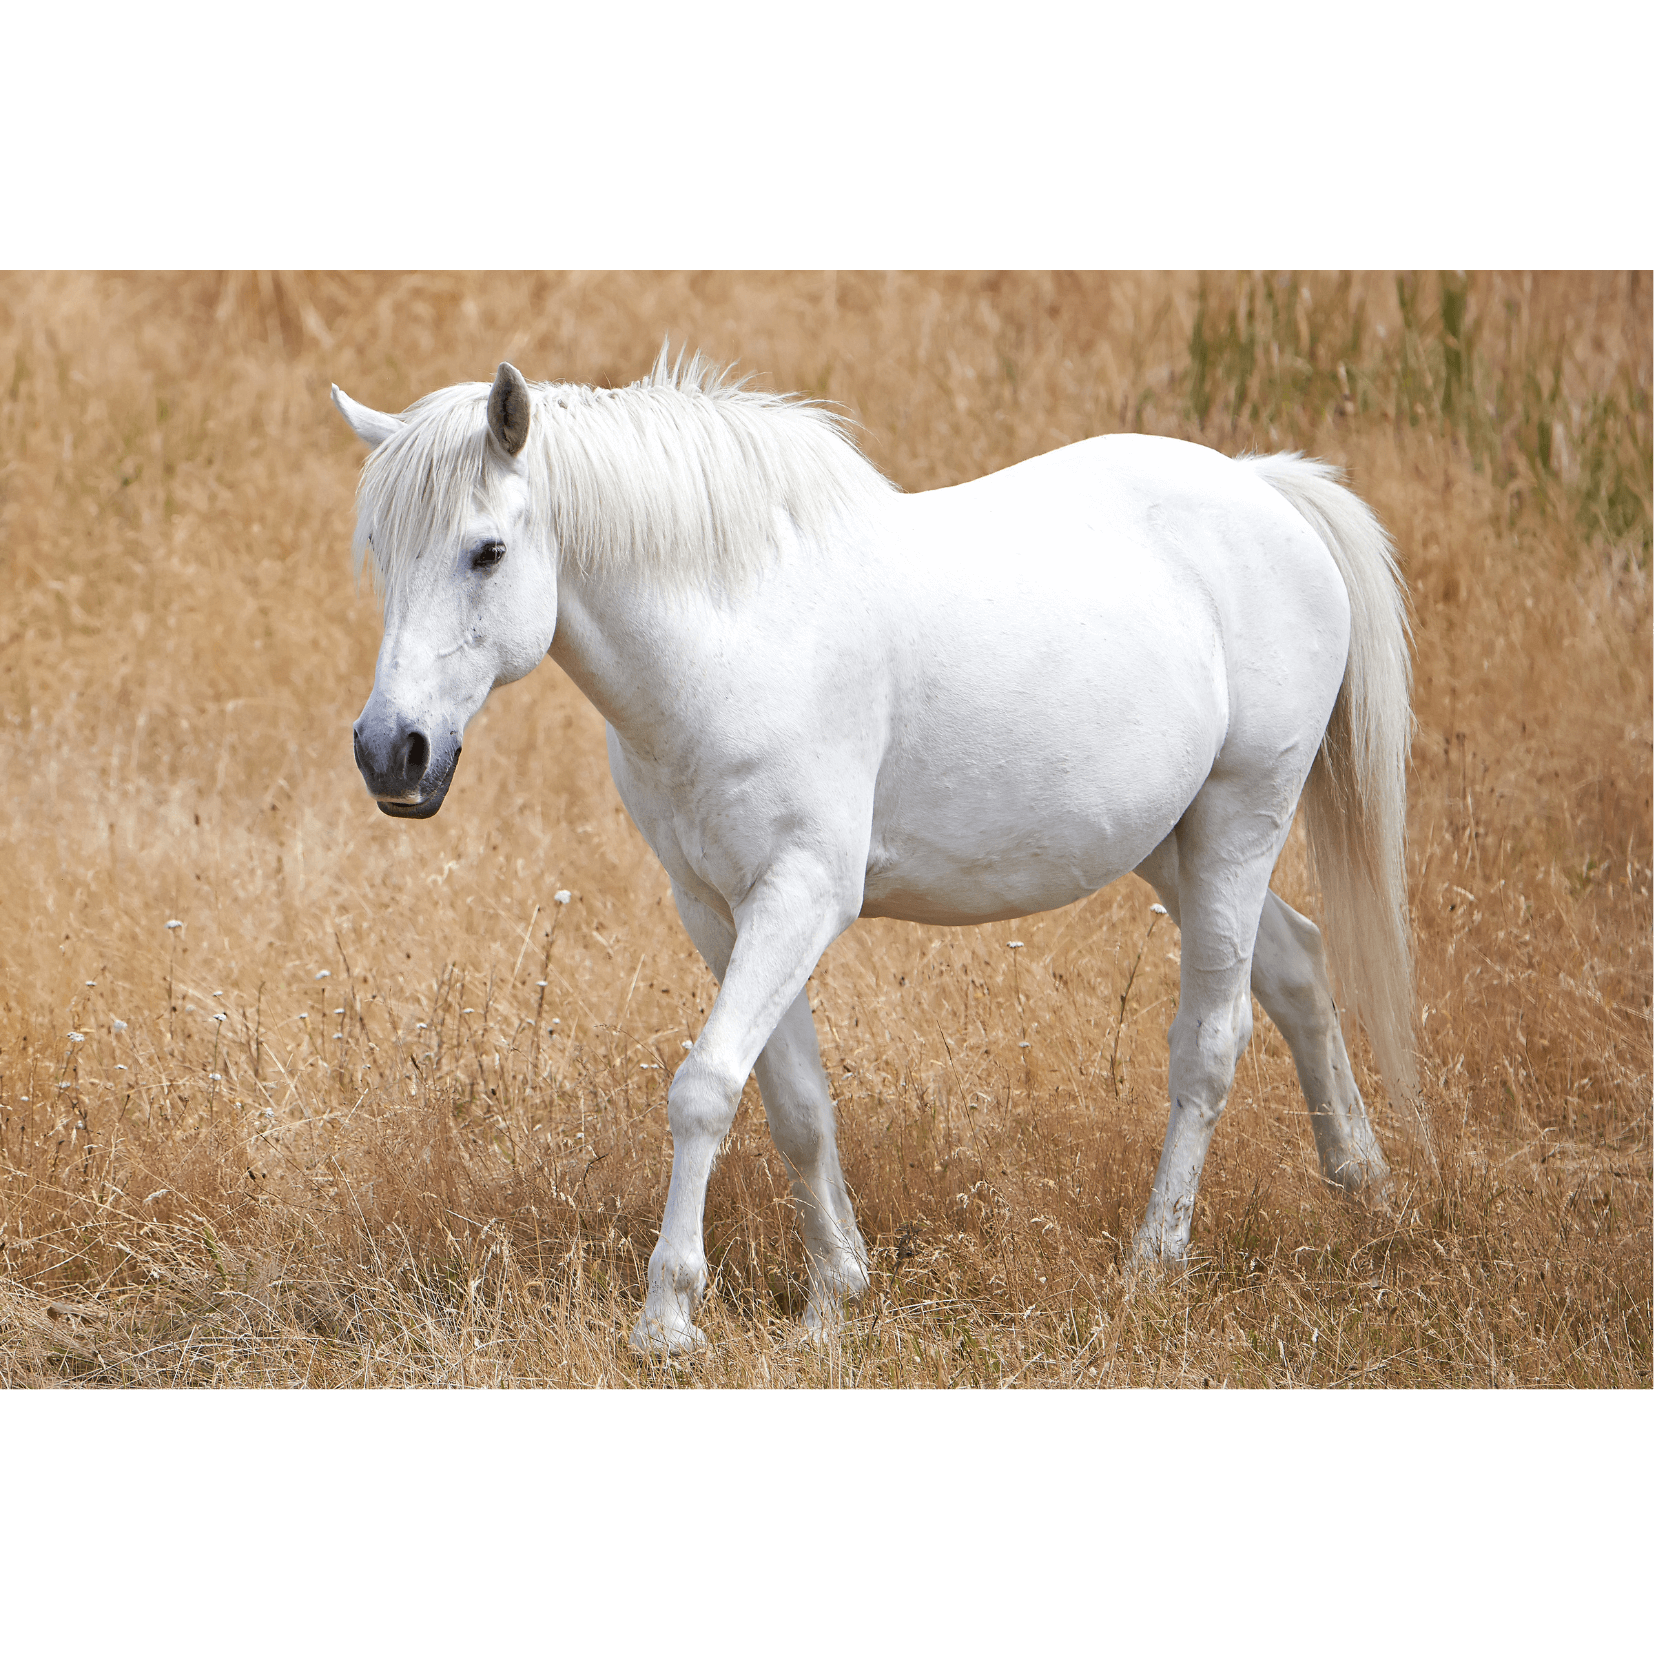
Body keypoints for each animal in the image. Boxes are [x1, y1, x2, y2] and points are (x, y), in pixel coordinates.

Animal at [329, 352, 1415, 1356]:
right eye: (380, 548)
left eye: (487, 551)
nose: (392, 751)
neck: (736, 637)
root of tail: (1265, 490)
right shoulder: (716, 907)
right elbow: (793, 1101)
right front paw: (832, 1297)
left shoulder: (801, 895)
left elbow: (706, 1087)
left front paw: (667, 1318)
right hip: (1173, 844)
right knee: (1297, 966)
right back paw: (1364, 1188)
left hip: (1239, 820)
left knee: (1210, 1039)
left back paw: (1156, 1259)